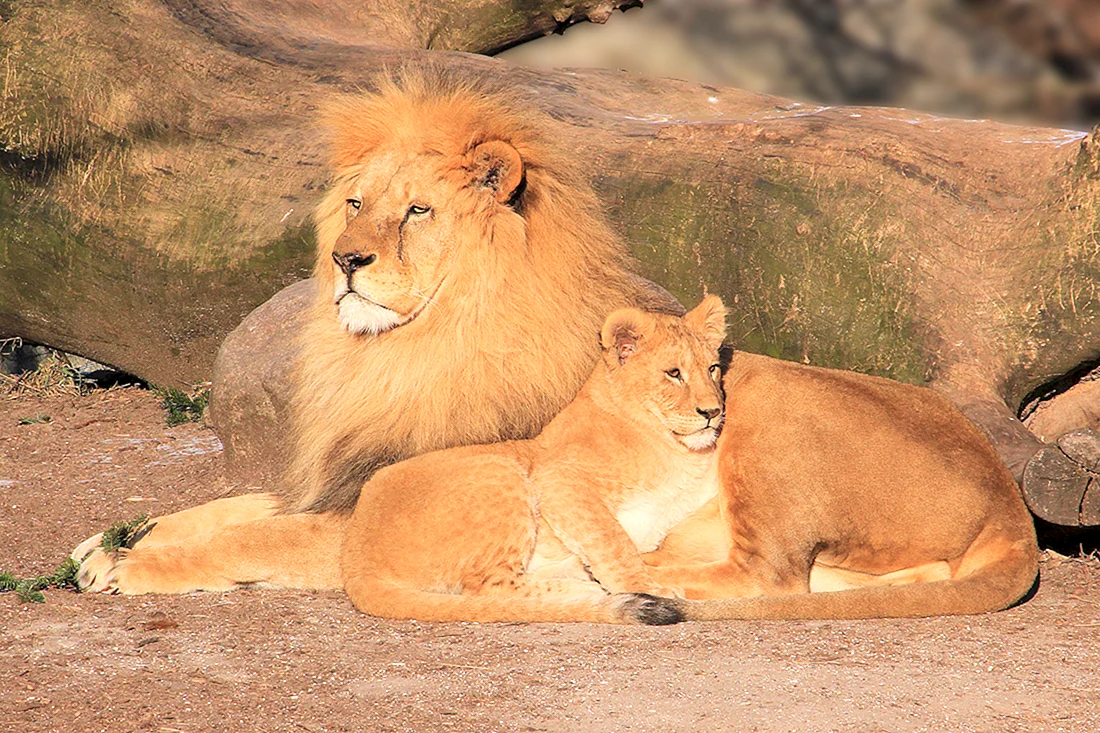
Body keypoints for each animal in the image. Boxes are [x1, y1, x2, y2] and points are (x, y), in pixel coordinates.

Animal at [72, 70, 680, 593]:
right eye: (356, 203)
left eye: (417, 210)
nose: (345, 259)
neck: (396, 358)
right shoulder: (340, 483)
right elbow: (237, 507)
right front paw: (114, 540)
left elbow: (250, 537)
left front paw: (129, 564)